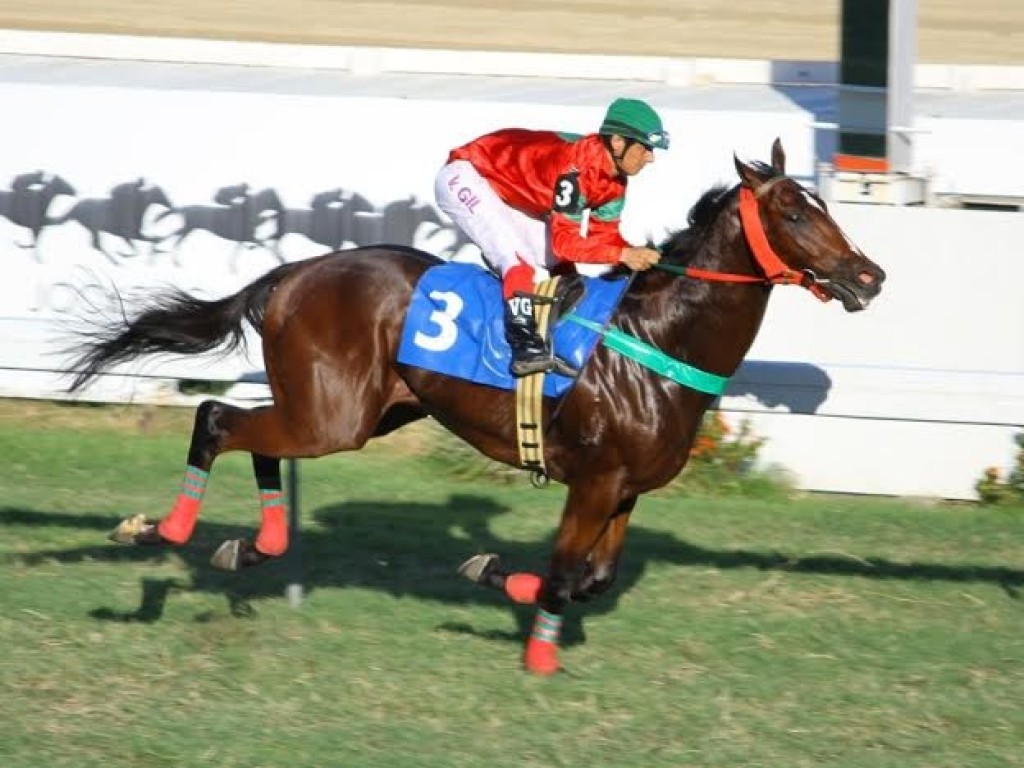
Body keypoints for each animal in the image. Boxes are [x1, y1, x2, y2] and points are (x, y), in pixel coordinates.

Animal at [64, 141, 884, 675]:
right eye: (795, 213)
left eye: (824, 206)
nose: (870, 275)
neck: (656, 337)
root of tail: (293, 272)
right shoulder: (594, 482)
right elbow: (561, 572)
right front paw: (526, 632)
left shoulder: (625, 490)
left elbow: (593, 578)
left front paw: (501, 581)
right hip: (332, 417)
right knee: (215, 420)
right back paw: (163, 530)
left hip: (354, 412)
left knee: (256, 439)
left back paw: (250, 545)